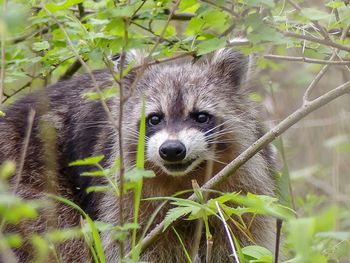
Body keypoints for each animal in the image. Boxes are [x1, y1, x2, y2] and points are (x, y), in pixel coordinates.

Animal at [0, 48, 276, 262]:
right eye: (154, 119)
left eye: (201, 116)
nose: (172, 150)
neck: (183, 177)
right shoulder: (125, 194)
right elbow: (135, 245)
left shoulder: (245, 183)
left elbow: (243, 239)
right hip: (28, 176)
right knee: (61, 237)